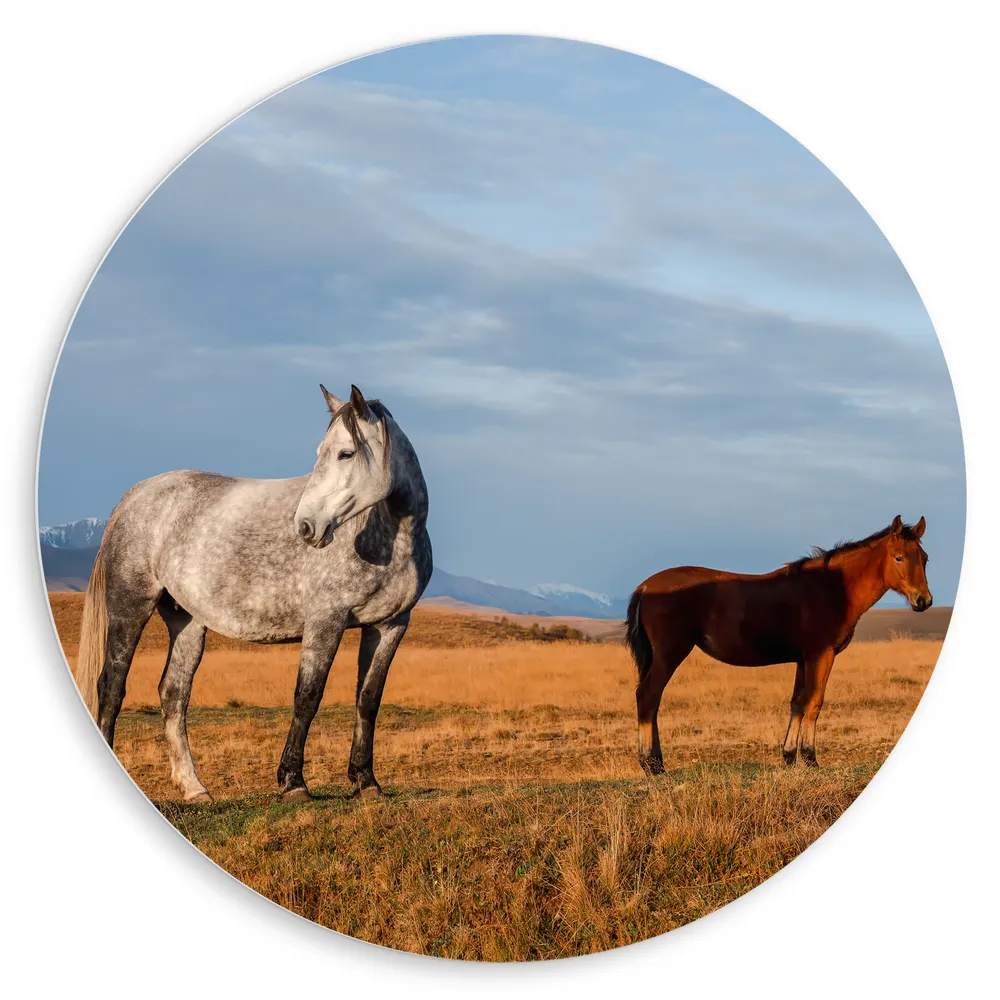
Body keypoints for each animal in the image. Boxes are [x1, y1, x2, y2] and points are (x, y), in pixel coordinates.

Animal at [74, 384, 432, 802]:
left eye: (346, 453)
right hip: (130, 606)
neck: (390, 534)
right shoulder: (325, 621)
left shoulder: (390, 625)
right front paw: (293, 782)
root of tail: (134, 497)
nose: (306, 526)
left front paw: (366, 782)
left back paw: (194, 788)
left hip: (187, 621)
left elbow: (368, 699)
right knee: (112, 686)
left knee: (173, 693)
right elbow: (308, 696)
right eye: (321, 453)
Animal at [624, 515, 932, 774]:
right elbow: (814, 703)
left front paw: (789, 755)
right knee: (648, 696)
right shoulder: (822, 655)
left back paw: (656, 761)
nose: (923, 601)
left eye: (925, 558)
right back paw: (651, 764)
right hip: (669, 654)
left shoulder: (803, 659)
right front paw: (810, 758)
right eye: (899, 557)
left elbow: (797, 703)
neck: (832, 588)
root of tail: (646, 587)